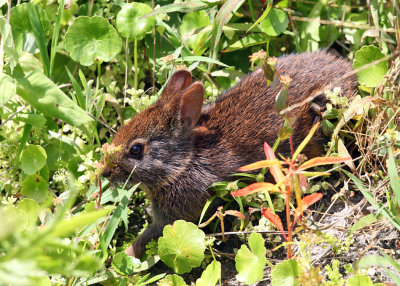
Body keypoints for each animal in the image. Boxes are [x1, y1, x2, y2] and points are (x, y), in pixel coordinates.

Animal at [101, 50, 358, 258]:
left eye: (136, 150)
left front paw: (122, 257)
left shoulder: (175, 214)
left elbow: (150, 234)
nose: (104, 171)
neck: (183, 161)